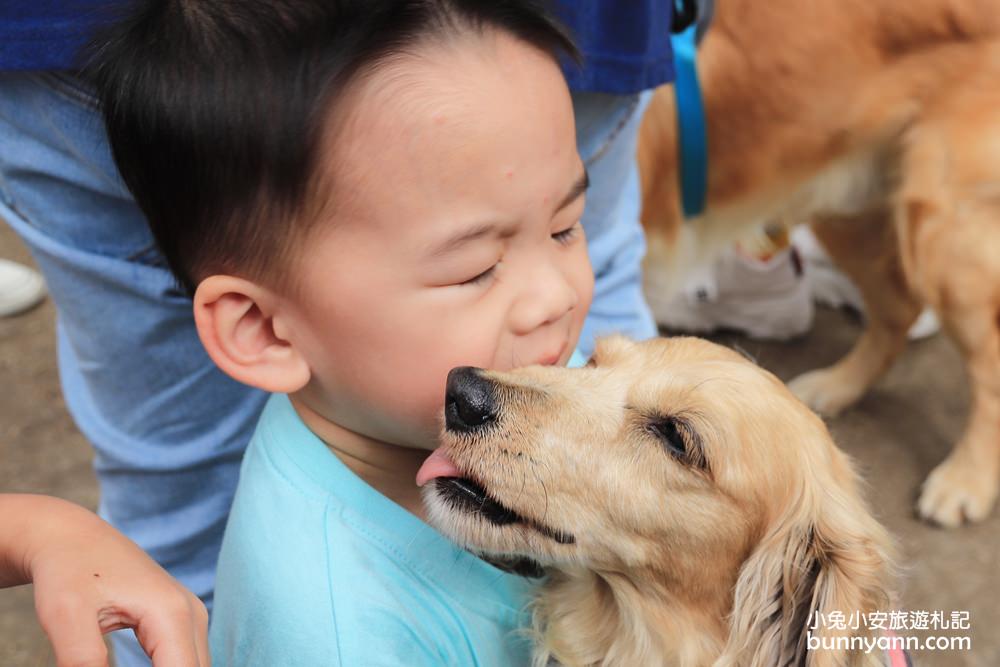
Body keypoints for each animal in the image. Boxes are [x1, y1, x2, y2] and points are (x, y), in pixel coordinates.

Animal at [636, 0, 1000, 528]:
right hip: (844, 203)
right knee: (896, 311)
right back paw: (838, 386)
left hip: (945, 233)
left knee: (988, 363)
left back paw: (966, 478)